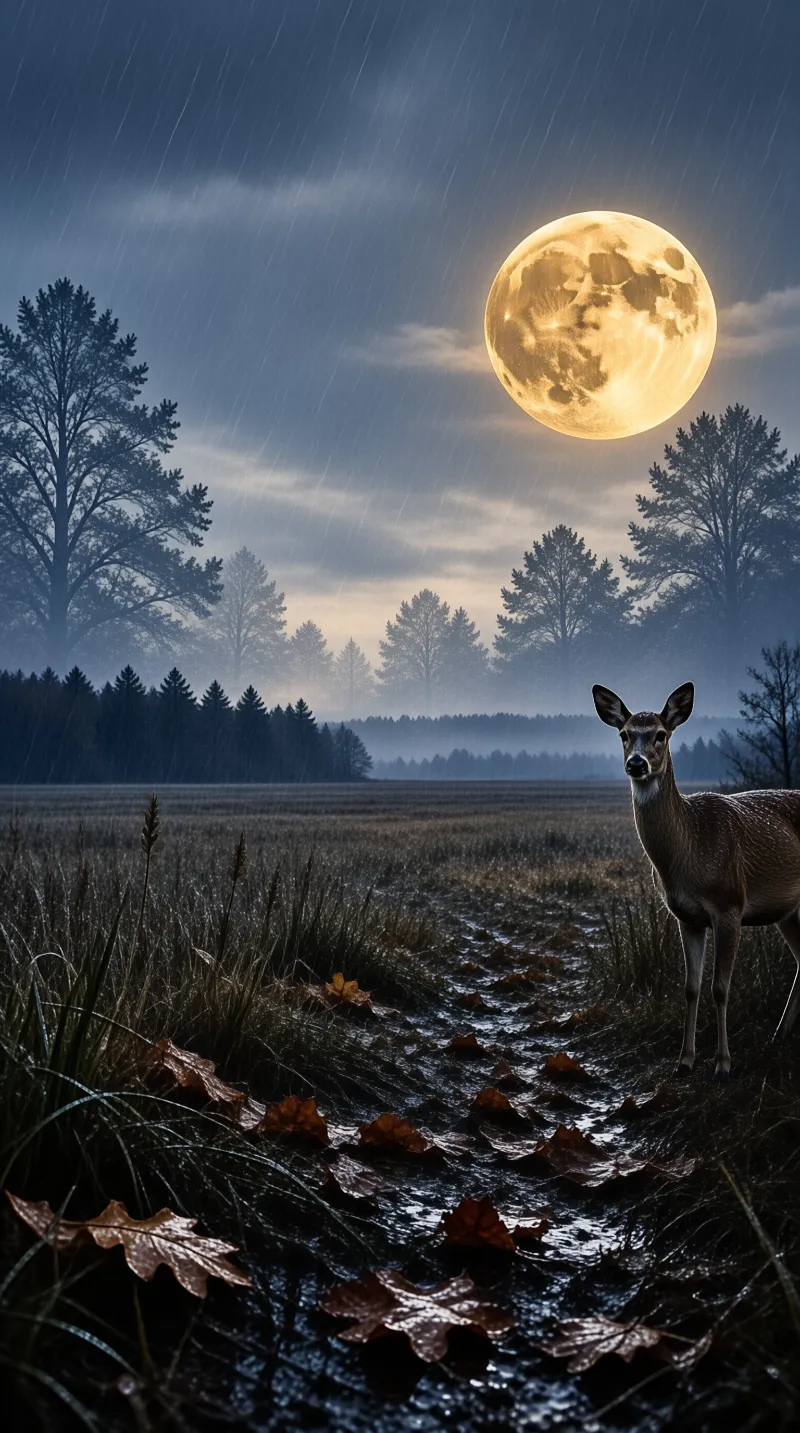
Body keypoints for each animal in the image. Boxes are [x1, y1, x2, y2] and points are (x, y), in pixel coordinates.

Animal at [592, 681, 800, 1078]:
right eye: (624, 734)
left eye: (660, 734)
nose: (636, 763)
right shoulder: (686, 916)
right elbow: (691, 987)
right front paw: (684, 1060)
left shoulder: (730, 904)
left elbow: (720, 988)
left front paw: (722, 1064)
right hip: (789, 912)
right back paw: (779, 1035)